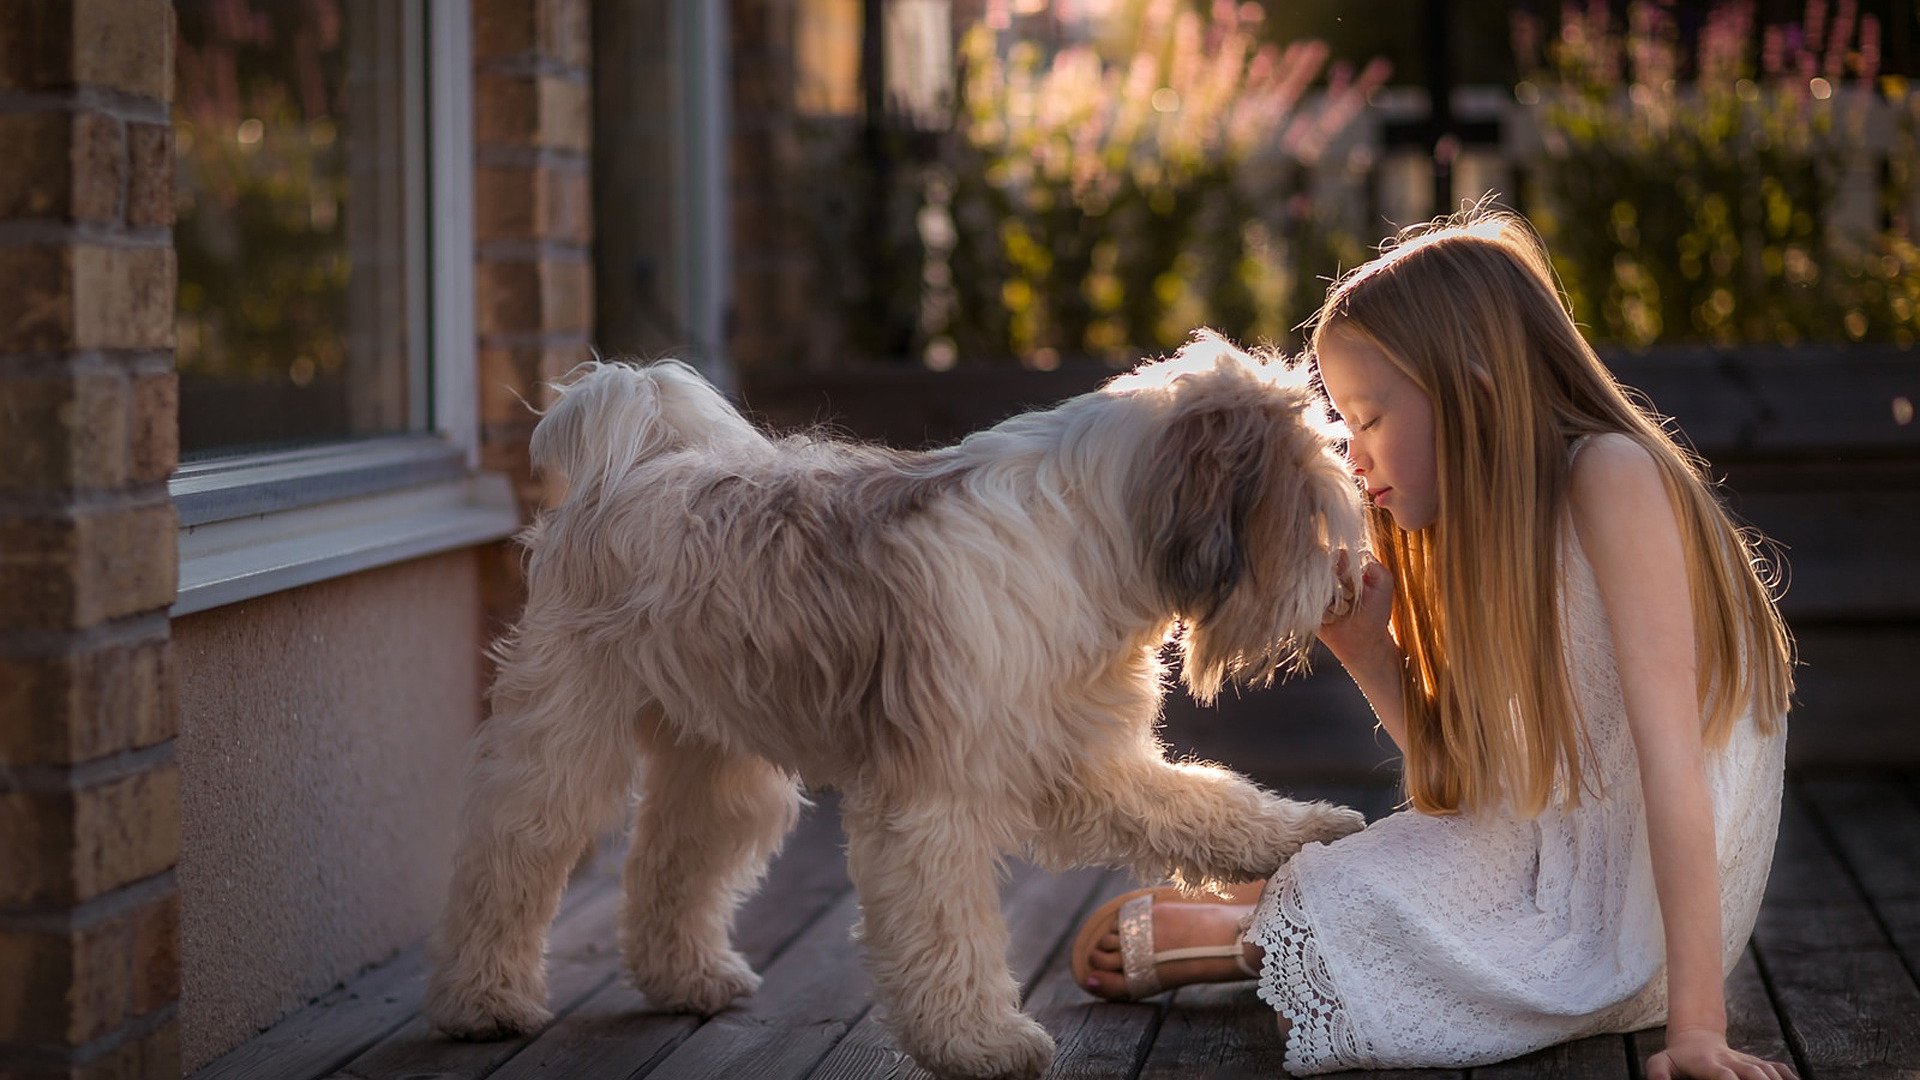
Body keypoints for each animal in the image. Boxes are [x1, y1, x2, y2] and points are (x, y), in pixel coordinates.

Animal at [430, 332, 1374, 1068]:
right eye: (1313, 507)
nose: (1345, 586)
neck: (1090, 539)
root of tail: (636, 464)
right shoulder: (936, 796)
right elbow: (949, 926)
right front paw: (978, 1043)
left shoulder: (1085, 761)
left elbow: (1205, 805)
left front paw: (1309, 831)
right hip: (565, 739)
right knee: (507, 858)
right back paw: (485, 1002)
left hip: (720, 763)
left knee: (674, 860)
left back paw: (687, 979)